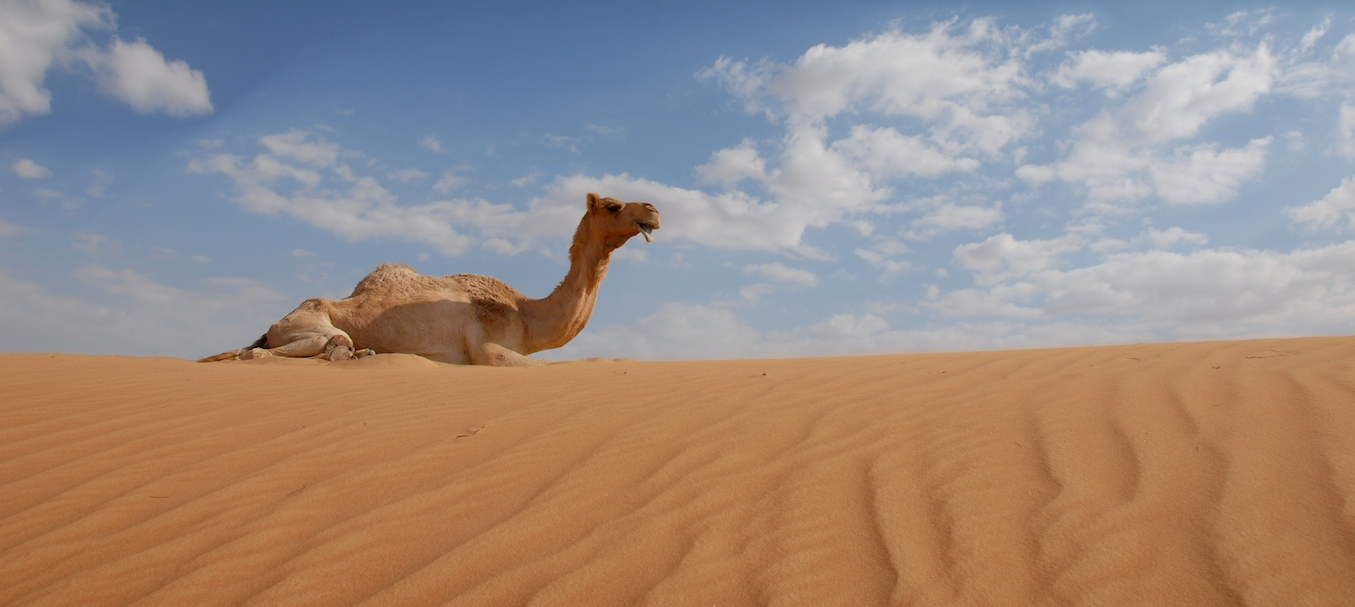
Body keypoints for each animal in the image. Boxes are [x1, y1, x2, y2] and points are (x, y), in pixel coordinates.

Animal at [200, 193, 661, 365]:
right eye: (613, 206)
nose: (654, 209)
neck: (527, 315)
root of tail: (273, 324)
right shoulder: (487, 349)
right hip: (303, 324)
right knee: (262, 353)